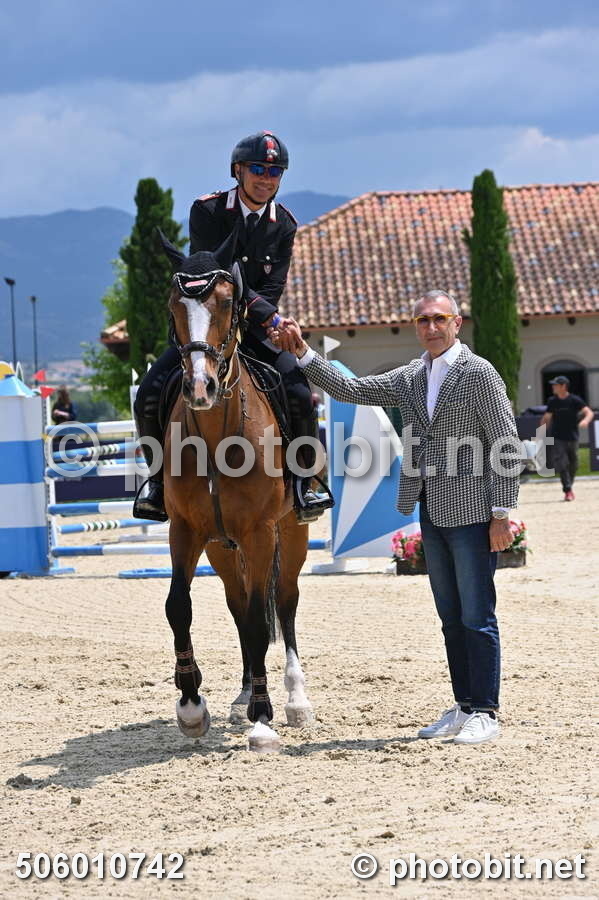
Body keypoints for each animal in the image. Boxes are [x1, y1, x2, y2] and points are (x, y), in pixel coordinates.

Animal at [157, 234, 314, 752]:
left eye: (228, 302)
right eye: (174, 304)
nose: (200, 386)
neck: (214, 436)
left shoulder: (261, 532)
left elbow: (263, 620)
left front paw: (263, 718)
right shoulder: (186, 531)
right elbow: (179, 607)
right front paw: (191, 705)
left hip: (291, 533)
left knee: (282, 603)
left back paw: (294, 698)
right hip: (221, 547)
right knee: (239, 604)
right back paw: (243, 694)